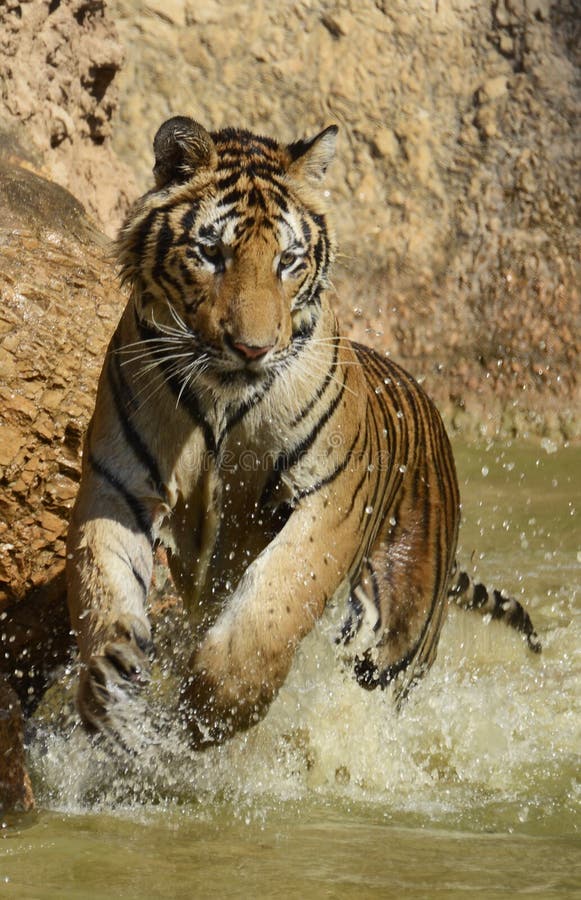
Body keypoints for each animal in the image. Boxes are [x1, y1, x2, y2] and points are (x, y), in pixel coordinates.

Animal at [63, 116, 540, 748]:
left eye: (287, 260)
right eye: (211, 253)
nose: (252, 348)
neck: (222, 397)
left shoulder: (330, 497)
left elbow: (276, 598)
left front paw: (215, 708)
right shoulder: (117, 483)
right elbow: (102, 586)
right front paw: (112, 698)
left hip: (397, 638)